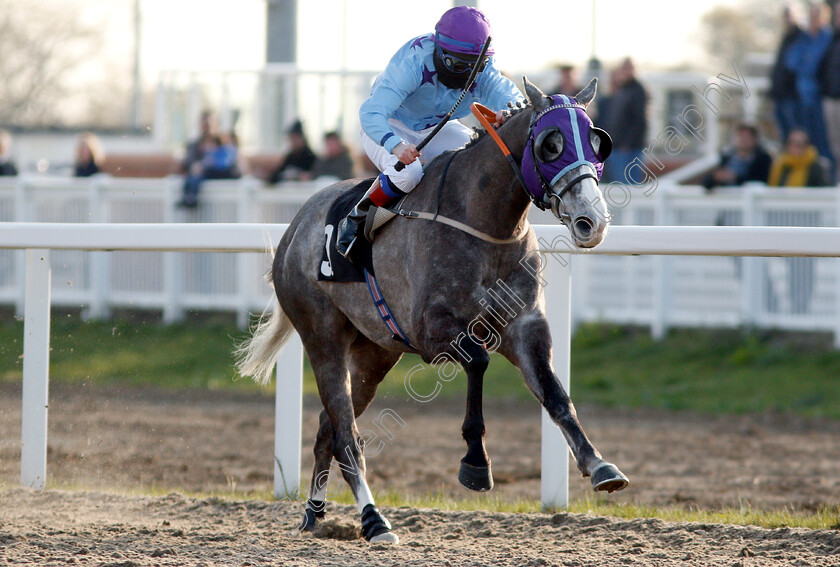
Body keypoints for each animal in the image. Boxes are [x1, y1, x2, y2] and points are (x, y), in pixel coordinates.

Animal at [235, 77, 624, 544]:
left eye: (598, 141)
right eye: (552, 144)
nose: (592, 221)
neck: (484, 223)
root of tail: (294, 227)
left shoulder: (526, 326)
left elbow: (555, 394)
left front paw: (600, 465)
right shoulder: (432, 333)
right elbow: (478, 362)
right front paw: (475, 463)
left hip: (375, 353)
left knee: (328, 428)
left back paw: (314, 514)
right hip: (321, 336)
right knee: (346, 433)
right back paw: (373, 519)